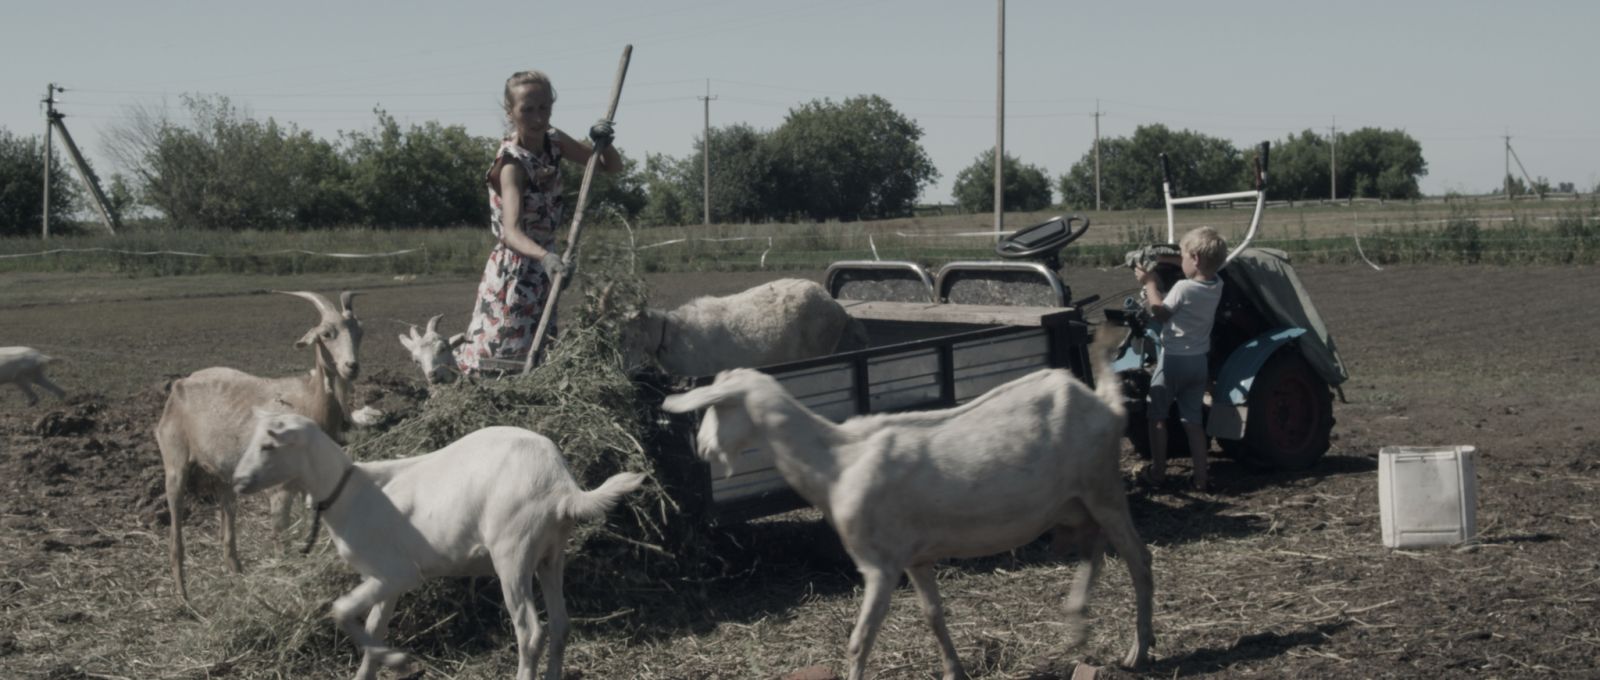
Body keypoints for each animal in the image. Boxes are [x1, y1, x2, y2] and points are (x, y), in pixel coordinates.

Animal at [154, 290, 363, 604]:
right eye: (327, 334)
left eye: (360, 332)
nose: (351, 367)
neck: (308, 402)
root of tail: (179, 385)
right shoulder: (279, 489)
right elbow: (280, 537)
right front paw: (286, 582)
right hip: (174, 460)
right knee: (175, 528)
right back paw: (183, 596)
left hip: (224, 472)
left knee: (227, 529)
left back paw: (236, 575)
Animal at [232, 411, 646, 680]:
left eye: (268, 445)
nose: (237, 482)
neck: (347, 491)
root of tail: (562, 485)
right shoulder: (384, 581)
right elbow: (373, 626)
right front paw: (377, 667)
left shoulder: (398, 573)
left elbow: (341, 610)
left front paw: (398, 661)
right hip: (551, 553)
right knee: (560, 624)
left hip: (512, 550)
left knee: (531, 631)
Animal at [660, 328, 1154, 678]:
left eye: (717, 408)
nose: (702, 449)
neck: (836, 461)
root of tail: (1106, 405)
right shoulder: (915, 556)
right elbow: (934, 616)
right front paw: (954, 672)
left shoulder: (879, 564)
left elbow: (859, 639)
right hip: (1076, 501)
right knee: (1094, 550)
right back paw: (1078, 625)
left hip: (1104, 488)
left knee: (1138, 558)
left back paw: (1138, 650)